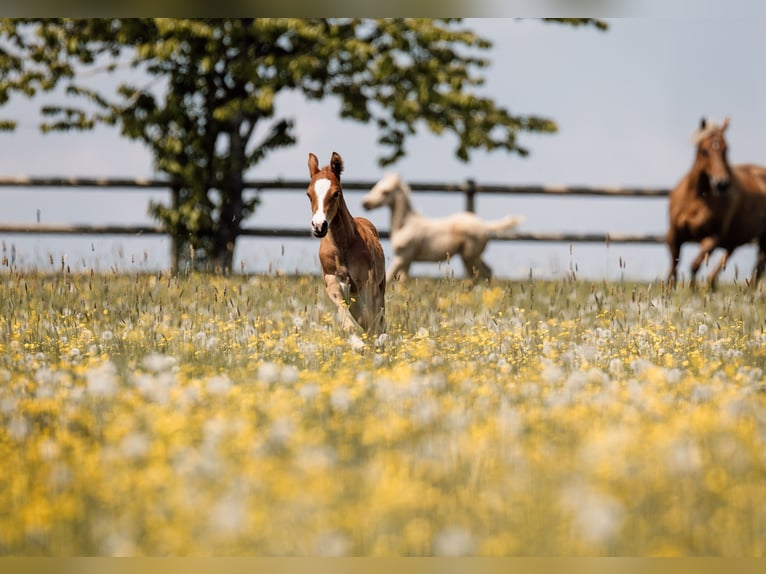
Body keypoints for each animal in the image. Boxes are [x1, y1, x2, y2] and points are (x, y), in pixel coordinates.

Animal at [306, 151, 386, 335]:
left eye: (336, 193)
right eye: (309, 194)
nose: (319, 226)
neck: (342, 246)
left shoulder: (368, 284)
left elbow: (372, 321)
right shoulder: (333, 282)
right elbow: (347, 322)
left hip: (379, 290)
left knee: (379, 322)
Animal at [361, 172, 524, 282]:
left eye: (385, 191)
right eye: (376, 185)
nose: (365, 204)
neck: (405, 224)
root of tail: (484, 224)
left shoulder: (403, 256)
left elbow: (389, 278)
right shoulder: (408, 260)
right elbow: (402, 281)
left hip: (469, 256)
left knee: (479, 274)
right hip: (473, 256)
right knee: (485, 273)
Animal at [666, 117, 766, 288]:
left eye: (726, 149)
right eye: (704, 151)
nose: (722, 183)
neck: (697, 198)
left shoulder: (714, 237)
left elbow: (694, 266)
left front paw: (692, 290)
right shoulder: (674, 235)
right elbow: (673, 270)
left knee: (758, 268)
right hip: (736, 238)